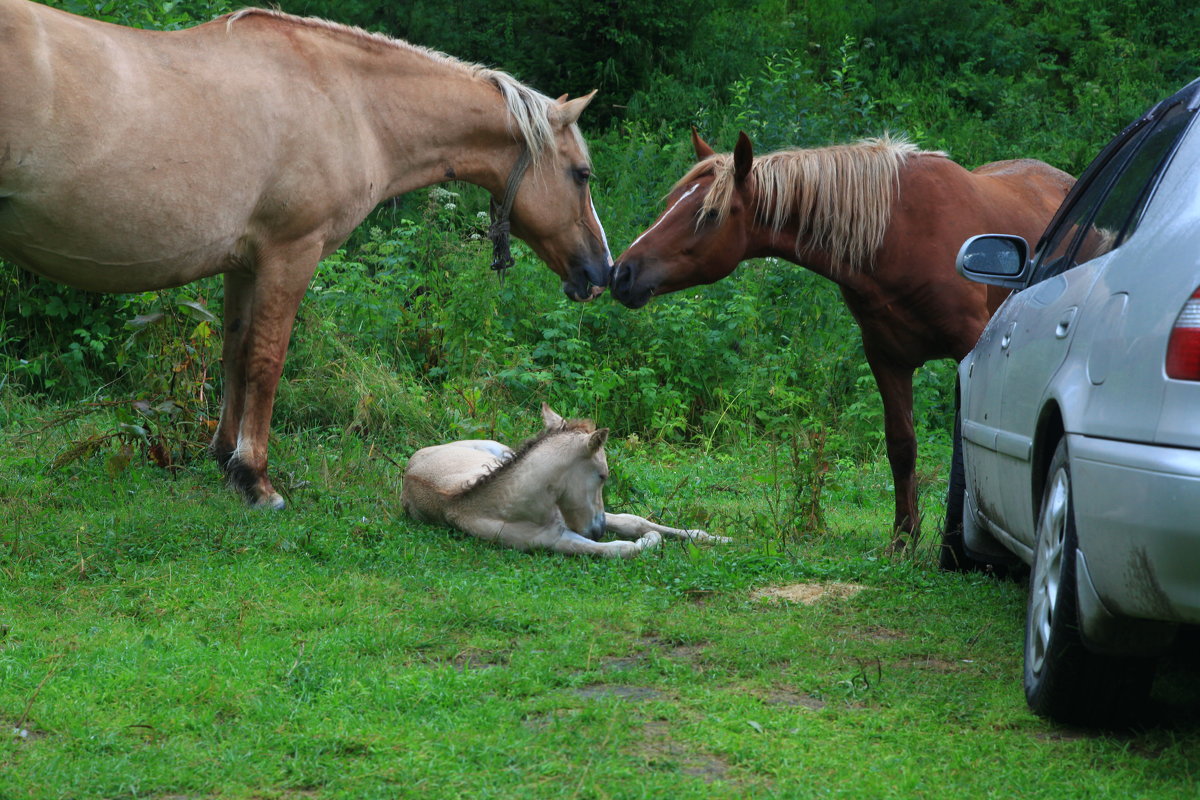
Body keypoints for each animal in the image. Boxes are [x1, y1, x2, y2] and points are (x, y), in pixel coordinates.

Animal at [0, 0, 614, 510]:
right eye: (581, 174)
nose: (600, 271)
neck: (348, 102)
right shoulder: (291, 254)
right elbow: (266, 363)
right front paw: (256, 480)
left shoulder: (243, 266)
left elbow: (235, 354)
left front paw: (225, 460)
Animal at [403, 407, 724, 556]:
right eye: (603, 475)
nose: (598, 530)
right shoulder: (558, 540)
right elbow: (621, 548)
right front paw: (652, 540)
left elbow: (634, 521)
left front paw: (718, 538)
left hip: (500, 450)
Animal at [614, 131, 1075, 554]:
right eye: (671, 201)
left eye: (708, 213)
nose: (621, 273)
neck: (901, 235)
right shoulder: (886, 358)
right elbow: (901, 446)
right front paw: (903, 538)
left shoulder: (970, 354)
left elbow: (966, 453)